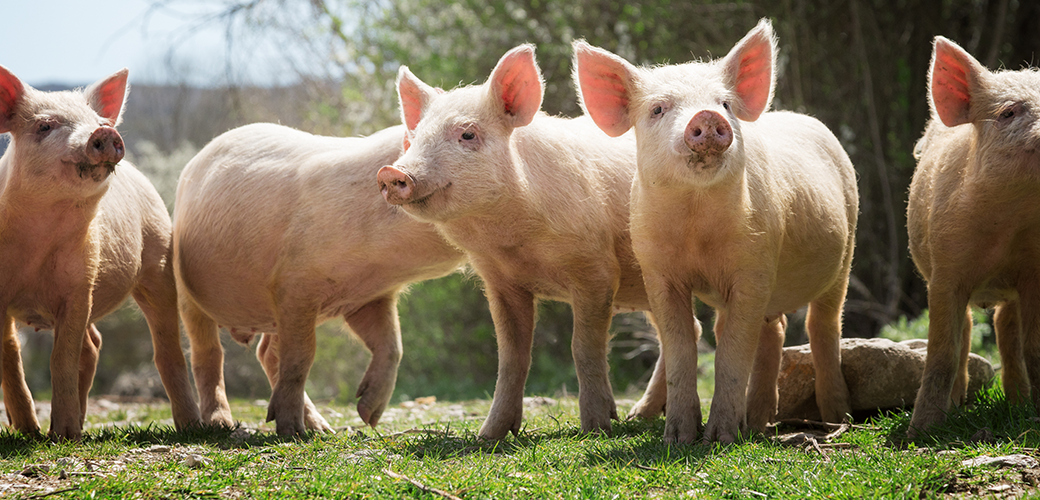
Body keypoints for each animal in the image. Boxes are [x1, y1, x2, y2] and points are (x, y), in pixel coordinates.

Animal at [0, 65, 201, 440]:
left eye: (95, 120)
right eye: (44, 125)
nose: (105, 131)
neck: (41, 245)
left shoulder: (81, 284)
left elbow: (62, 356)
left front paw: (62, 436)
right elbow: (10, 353)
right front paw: (30, 432)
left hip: (159, 259)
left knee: (165, 349)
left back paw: (194, 427)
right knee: (93, 344)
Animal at [173, 123, 465, 435]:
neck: (382, 266)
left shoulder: (369, 297)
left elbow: (392, 346)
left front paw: (369, 416)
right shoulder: (293, 284)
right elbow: (301, 357)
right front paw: (292, 432)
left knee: (265, 353)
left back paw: (322, 429)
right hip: (186, 288)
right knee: (207, 352)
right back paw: (222, 425)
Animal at [376, 44, 666, 440]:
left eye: (468, 134)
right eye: (415, 137)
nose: (392, 172)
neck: (514, 242)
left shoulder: (596, 269)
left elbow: (583, 348)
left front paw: (596, 428)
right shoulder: (501, 282)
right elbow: (511, 358)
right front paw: (489, 436)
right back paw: (641, 416)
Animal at [573, 18, 858, 443]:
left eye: (725, 104)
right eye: (658, 108)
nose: (707, 117)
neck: (697, 226)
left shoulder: (756, 265)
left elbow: (732, 353)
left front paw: (719, 438)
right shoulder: (658, 271)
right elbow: (681, 348)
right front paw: (677, 438)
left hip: (847, 247)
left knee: (822, 325)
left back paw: (837, 421)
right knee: (774, 330)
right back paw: (757, 424)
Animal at [907, 36, 1040, 436]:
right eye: (1009, 112)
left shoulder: (1034, 270)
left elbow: (1034, 346)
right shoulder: (945, 269)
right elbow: (942, 351)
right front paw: (918, 434)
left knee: (1005, 328)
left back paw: (1019, 405)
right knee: (967, 328)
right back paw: (958, 406)